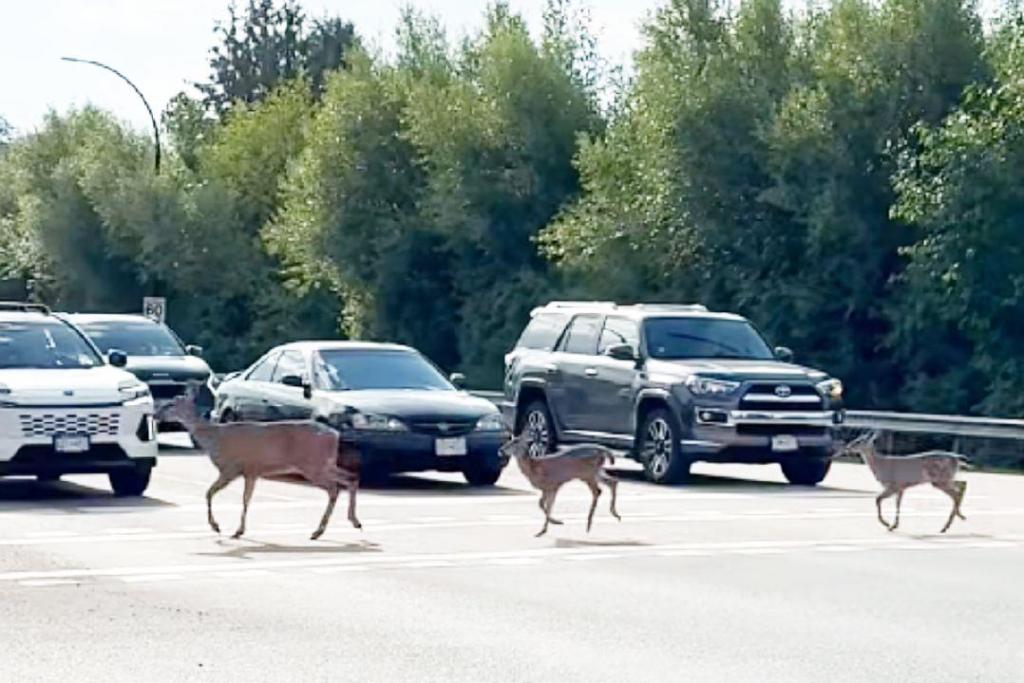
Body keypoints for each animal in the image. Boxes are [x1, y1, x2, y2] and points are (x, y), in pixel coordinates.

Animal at [160, 381, 361, 541]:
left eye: (171, 404)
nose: (156, 414)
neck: (213, 437)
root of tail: (335, 434)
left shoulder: (231, 468)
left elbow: (209, 493)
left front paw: (218, 527)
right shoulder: (251, 472)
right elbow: (246, 499)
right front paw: (239, 530)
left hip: (313, 465)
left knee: (334, 488)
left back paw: (319, 531)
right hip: (325, 464)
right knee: (351, 479)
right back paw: (352, 522)